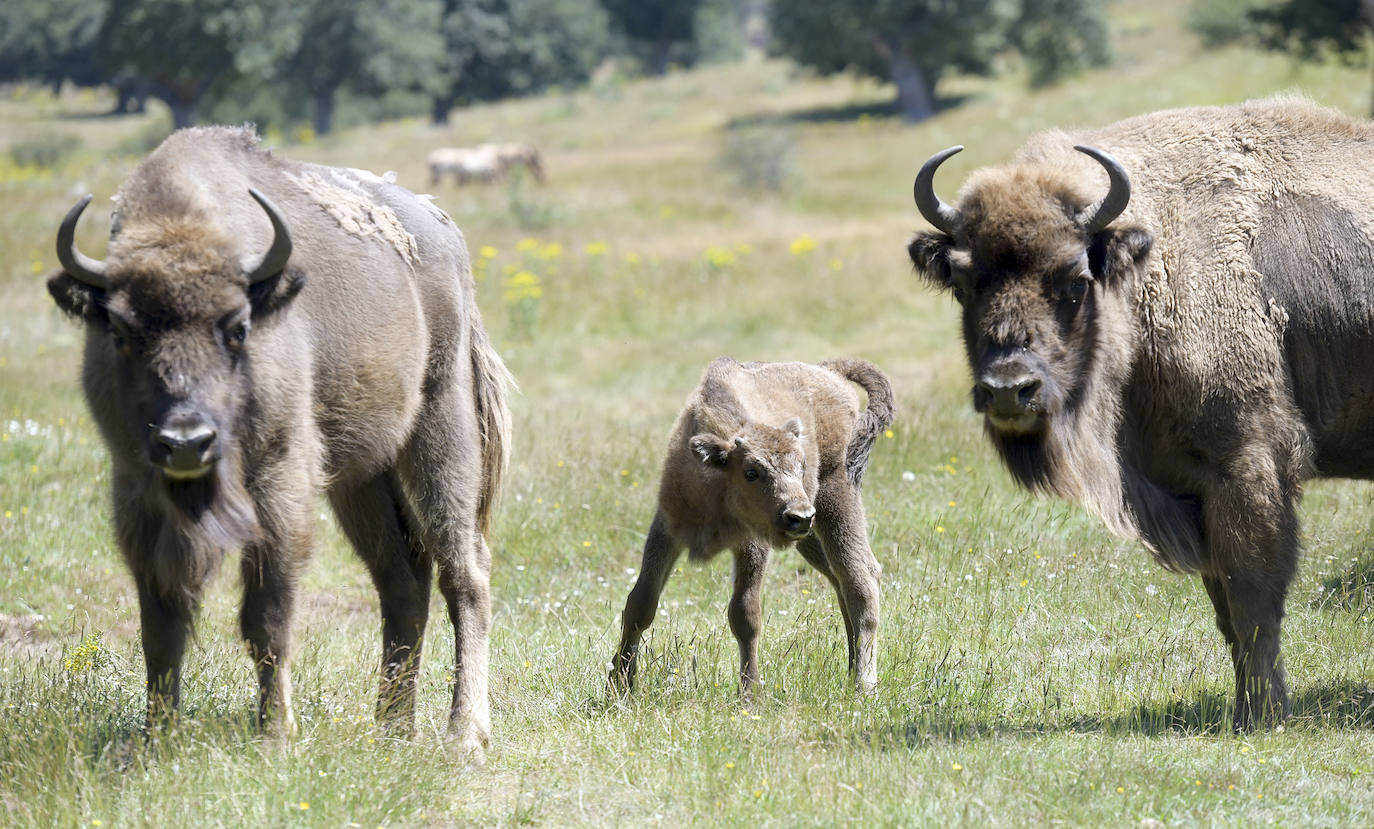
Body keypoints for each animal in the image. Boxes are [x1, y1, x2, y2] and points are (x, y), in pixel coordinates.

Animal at [48, 126, 513, 753]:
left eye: (238, 326)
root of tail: (444, 229)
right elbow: (161, 623)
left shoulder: (278, 478)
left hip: (443, 430)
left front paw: (274, 735)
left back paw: (464, 735)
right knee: (402, 582)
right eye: (119, 330)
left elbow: (266, 614)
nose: (187, 441)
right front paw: (157, 739)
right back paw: (390, 727)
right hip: (362, 479)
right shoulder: (138, 490)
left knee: (464, 572)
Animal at [610, 357, 890, 692]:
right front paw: (619, 683)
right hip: (811, 537)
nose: (799, 515)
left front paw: (749, 692)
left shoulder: (752, 544)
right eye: (751, 472)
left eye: (802, 466)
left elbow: (745, 615)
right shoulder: (666, 530)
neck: (717, 473)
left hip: (837, 500)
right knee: (839, 580)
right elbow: (640, 603)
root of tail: (826, 371)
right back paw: (850, 671)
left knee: (861, 578)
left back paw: (864, 684)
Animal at [906, 98, 1374, 731]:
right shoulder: (1189, 488)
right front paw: (1244, 709)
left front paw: (1264, 716)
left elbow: (1254, 602)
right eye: (962, 282)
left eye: (1075, 280)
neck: (1152, 268)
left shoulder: (1247, 464)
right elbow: (1227, 612)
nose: (1009, 390)